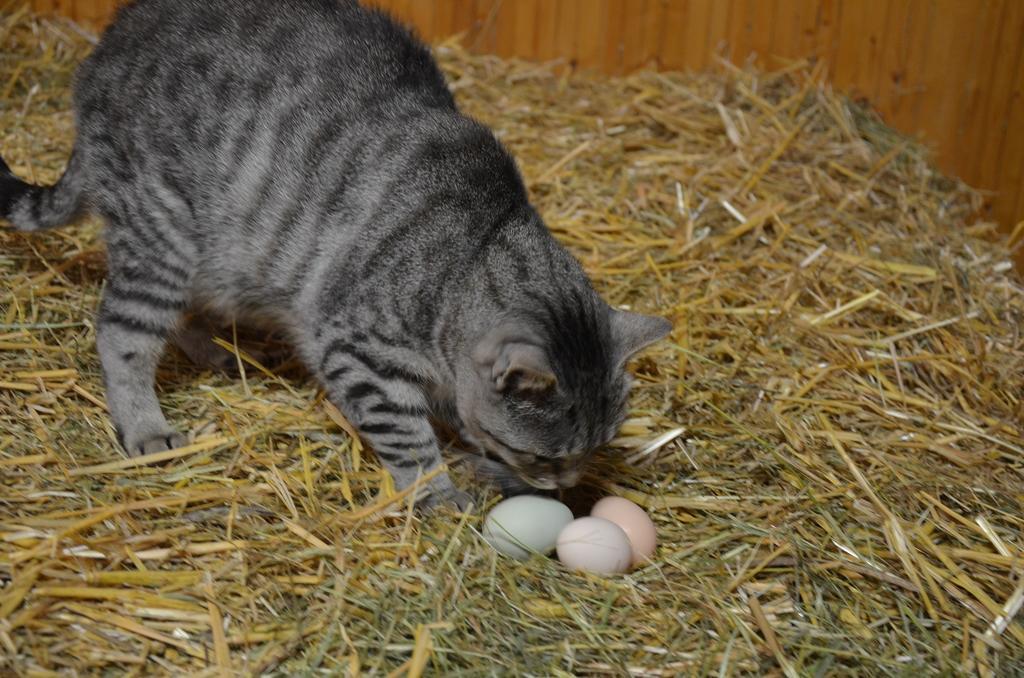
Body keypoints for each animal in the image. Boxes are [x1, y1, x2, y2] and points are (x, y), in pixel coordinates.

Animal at [2, 0, 671, 510]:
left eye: (596, 448)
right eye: (544, 454)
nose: (565, 483)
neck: (473, 251)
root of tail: (105, 48)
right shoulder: (355, 349)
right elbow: (409, 438)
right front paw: (438, 492)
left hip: (213, 253)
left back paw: (213, 351)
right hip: (162, 230)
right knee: (123, 335)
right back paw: (145, 425)